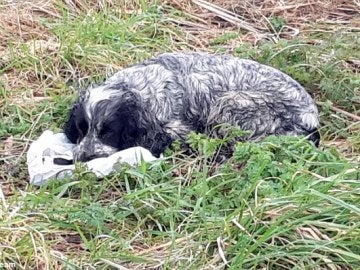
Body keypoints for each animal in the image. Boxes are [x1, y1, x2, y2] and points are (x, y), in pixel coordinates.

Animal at [63, 52, 320, 161]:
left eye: (108, 132)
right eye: (82, 130)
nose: (84, 157)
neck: (137, 88)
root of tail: (311, 118)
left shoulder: (177, 128)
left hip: (230, 104)